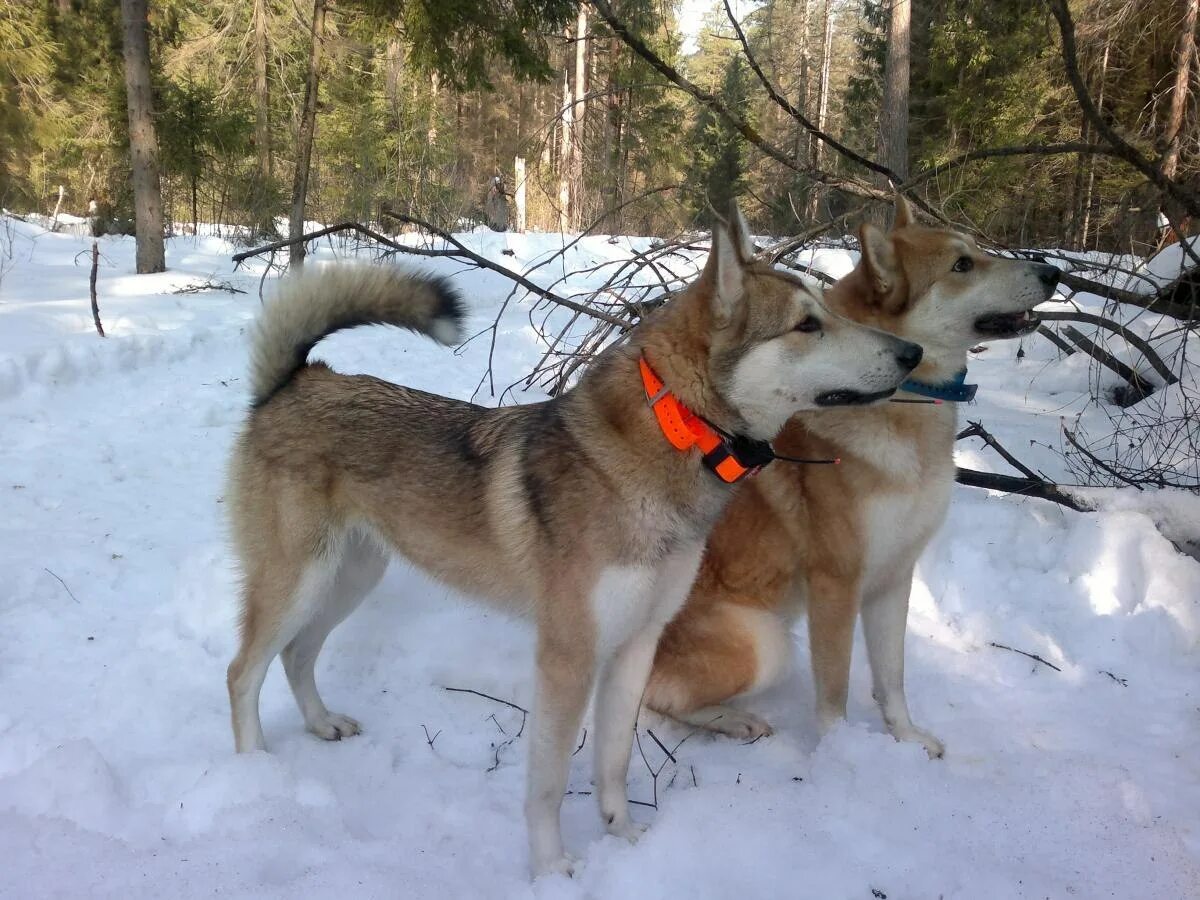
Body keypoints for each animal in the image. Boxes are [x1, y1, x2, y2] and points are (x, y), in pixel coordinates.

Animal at [223, 213, 916, 883]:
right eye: (808, 325)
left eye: (827, 311)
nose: (911, 353)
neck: (675, 434)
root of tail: (296, 381)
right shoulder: (568, 657)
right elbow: (549, 785)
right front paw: (553, 868)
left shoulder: (636, 644)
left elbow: (613, 762)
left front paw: (625, 837)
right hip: (298, 582)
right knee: (244, 671)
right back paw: (255, 772)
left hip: (349, 578)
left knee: (297, 656)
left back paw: (322, 725)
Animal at [648, 200, 1060, 758]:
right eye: (962, 265)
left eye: (977, 250)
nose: (1053, 272)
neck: (903, 404)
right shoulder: (836, 583)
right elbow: (835, 691)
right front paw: (840, 754)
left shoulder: (894, 577)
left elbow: (892, 678)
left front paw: (905, 739)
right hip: (765, 642)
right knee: (654, 697)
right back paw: (731, 720)